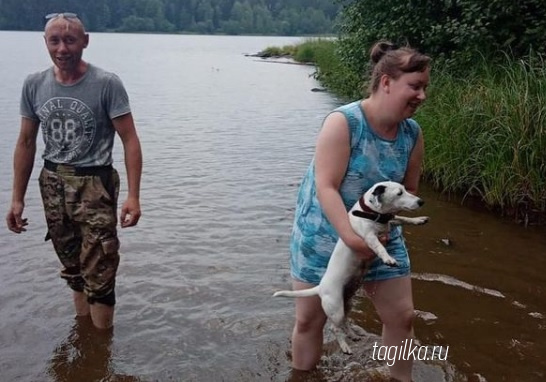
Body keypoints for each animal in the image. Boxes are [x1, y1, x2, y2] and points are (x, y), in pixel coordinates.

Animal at [274, 182, 428, 356]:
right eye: (399, 193)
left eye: (405, 189)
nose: (421, 201)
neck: (369, 212)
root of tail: (321, 288)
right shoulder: (369, 237)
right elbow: (379, 247)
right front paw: (388, 258)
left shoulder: (390, 221)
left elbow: (400, 218)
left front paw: (418, 220)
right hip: (335, 308)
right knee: (334, 328)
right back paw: (344, 346)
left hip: (346, 304)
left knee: (345, 322)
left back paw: (353, 335)